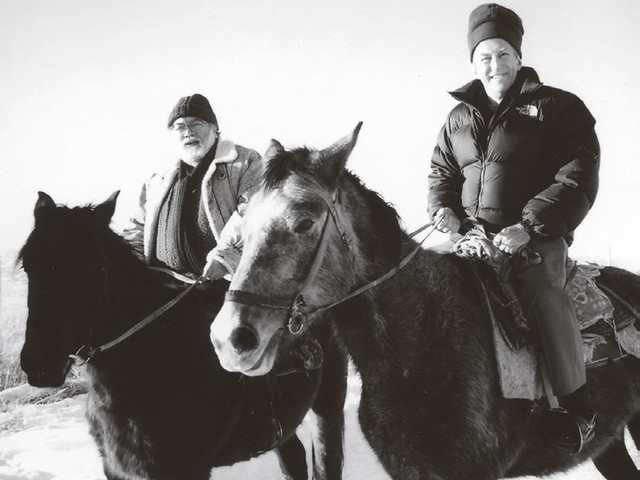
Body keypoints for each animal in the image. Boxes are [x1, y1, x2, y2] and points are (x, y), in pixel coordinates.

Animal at [20, 192, 348, 480]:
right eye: (28, 265)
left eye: (93, 268)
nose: (39, 364)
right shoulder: (119, 469)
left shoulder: (185, 468)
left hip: (328, 405)